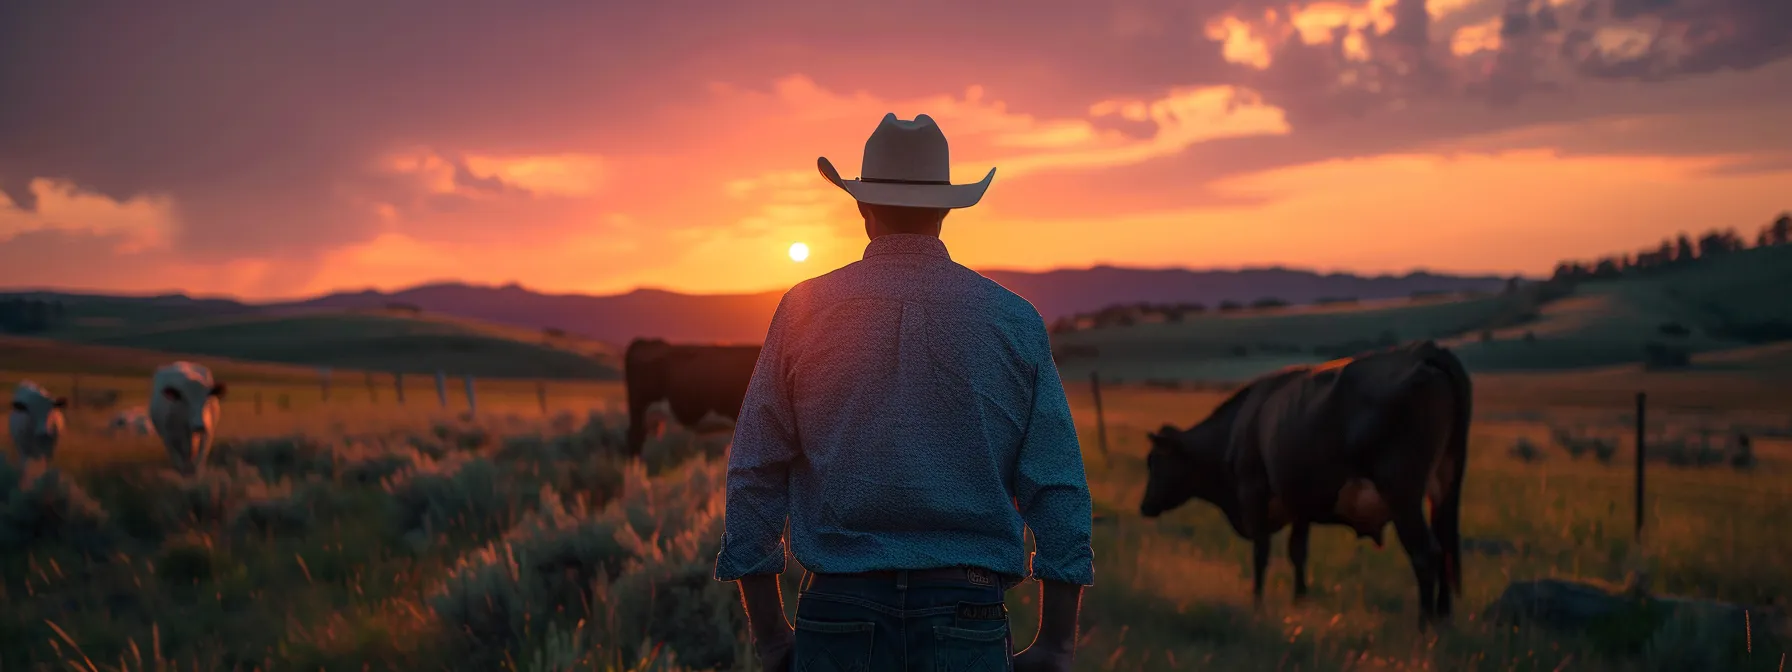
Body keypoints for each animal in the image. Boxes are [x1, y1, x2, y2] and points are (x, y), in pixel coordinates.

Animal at [1139, 342, 1476, 630]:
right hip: (1443, 488)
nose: (1144, 506)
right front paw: (1300, 603)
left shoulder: (1253, 491)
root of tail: (1423, 350)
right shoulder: (1300, 501)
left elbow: (1261, 553)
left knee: (1426, 554)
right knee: (1446, 546)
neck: (1236, 427)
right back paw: (1444, 619)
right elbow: (1297, 552)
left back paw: (1424, 627)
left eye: (1154, 462)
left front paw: (1257, 604)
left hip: (1402, 493)